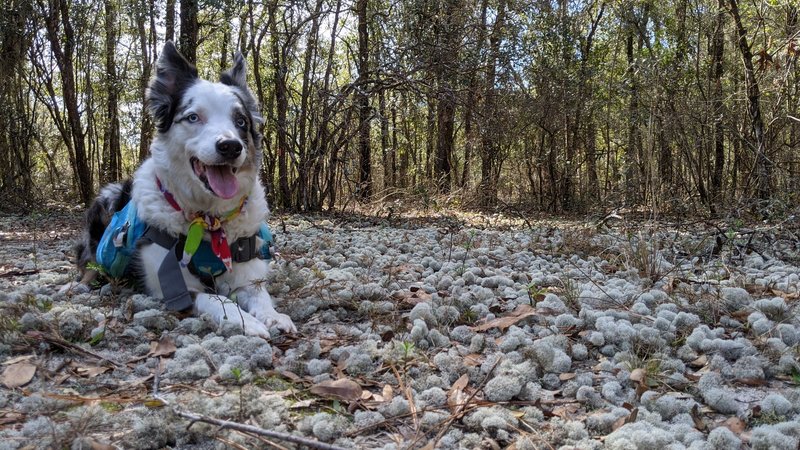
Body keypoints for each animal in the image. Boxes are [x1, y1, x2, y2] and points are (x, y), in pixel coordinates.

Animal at [61, 42, 294, 338]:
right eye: (193, 117)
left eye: (241, 121)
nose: (230, 146)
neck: (209, 220)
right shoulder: (176, 288)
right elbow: (216, 299)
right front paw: (246, 321)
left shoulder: (247, 273)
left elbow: (260, 296)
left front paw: (273, 316)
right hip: (106, 200)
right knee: (89, 263)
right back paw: (78, 286)